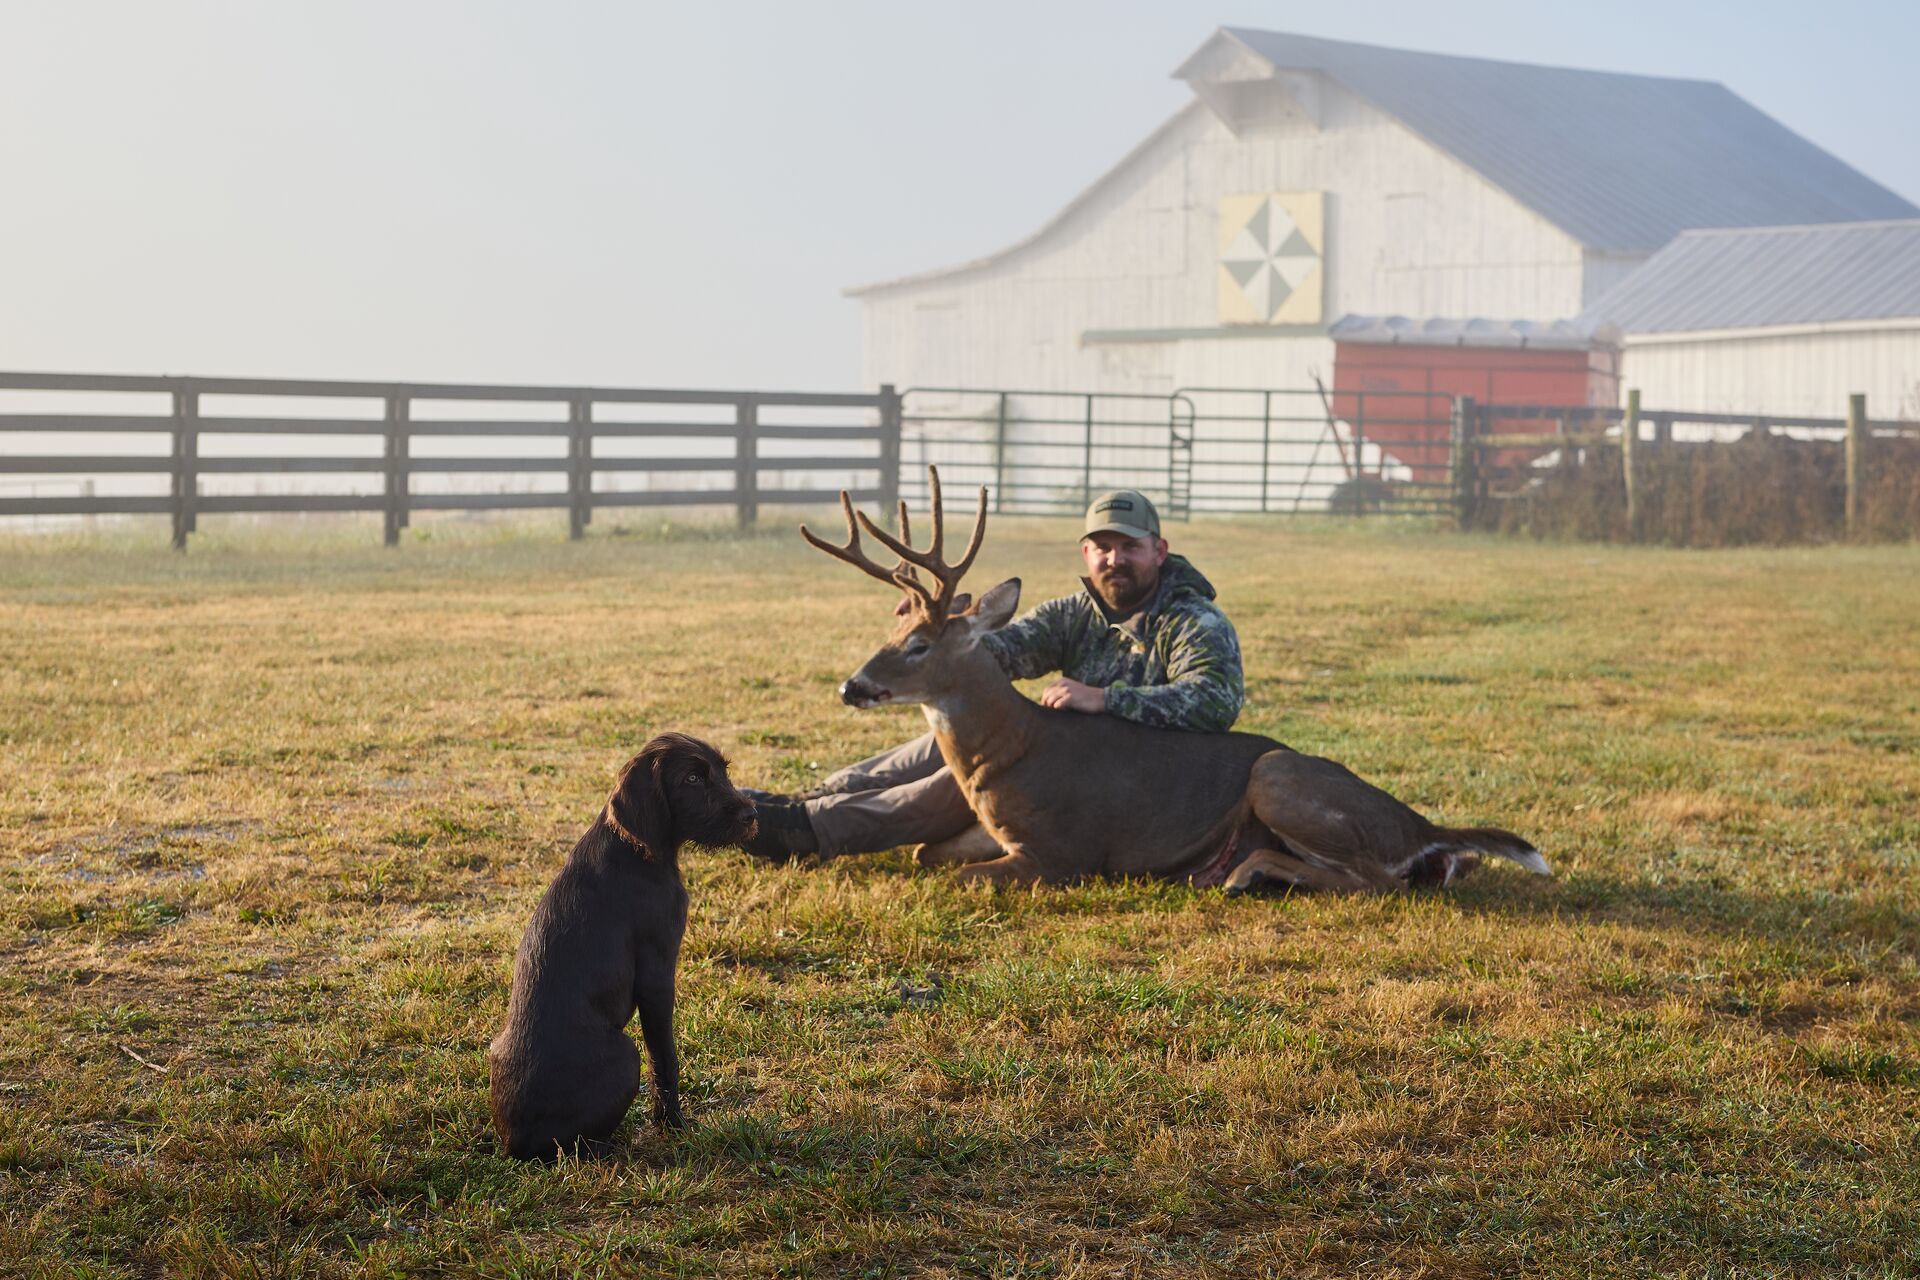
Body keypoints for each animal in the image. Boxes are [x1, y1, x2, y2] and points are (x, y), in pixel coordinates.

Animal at [798, 467, 1550, 893]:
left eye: (919, 645)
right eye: (889, 631)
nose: (851, 686)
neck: (1006, 752)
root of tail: (1420, 824)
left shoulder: (1064, 852)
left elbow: (955, 878)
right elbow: (925, 854)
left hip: (1279, 777)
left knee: (1375, 881)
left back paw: (1244, 873)